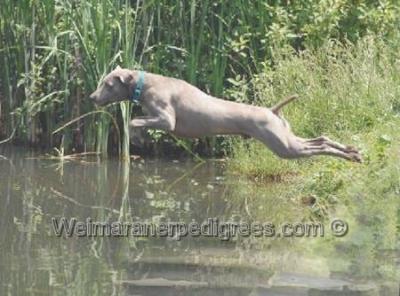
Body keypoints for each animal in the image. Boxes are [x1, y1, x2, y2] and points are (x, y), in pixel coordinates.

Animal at [90, 66, 362, 163]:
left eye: (108, 84)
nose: (92, 97)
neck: (145, 84)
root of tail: (271, 110)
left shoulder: (167, 120)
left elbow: (135, 120)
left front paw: (136, 137)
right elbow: (139, 121)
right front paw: (138, 138)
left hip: (283, 146)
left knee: (318, 147)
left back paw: (350, 156)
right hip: (287, 138)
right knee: (321, 138)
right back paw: (352, 151)